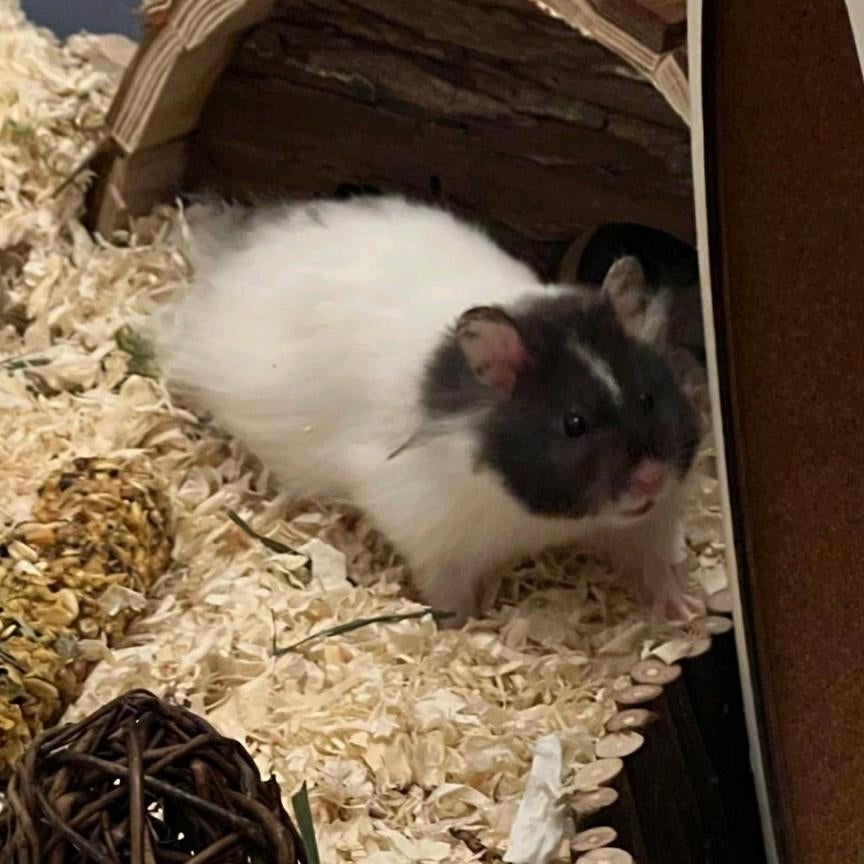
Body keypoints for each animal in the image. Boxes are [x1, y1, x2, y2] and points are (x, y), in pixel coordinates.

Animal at [155, 196, 705, 627]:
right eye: (574, 424)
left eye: (648, 398)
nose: (653, 478)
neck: (549, 519)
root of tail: (237, 251)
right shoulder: (432, 536)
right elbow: (448, 592)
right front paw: (465, 626)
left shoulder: (652, 521)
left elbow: (656, 561)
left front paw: (685, 611)